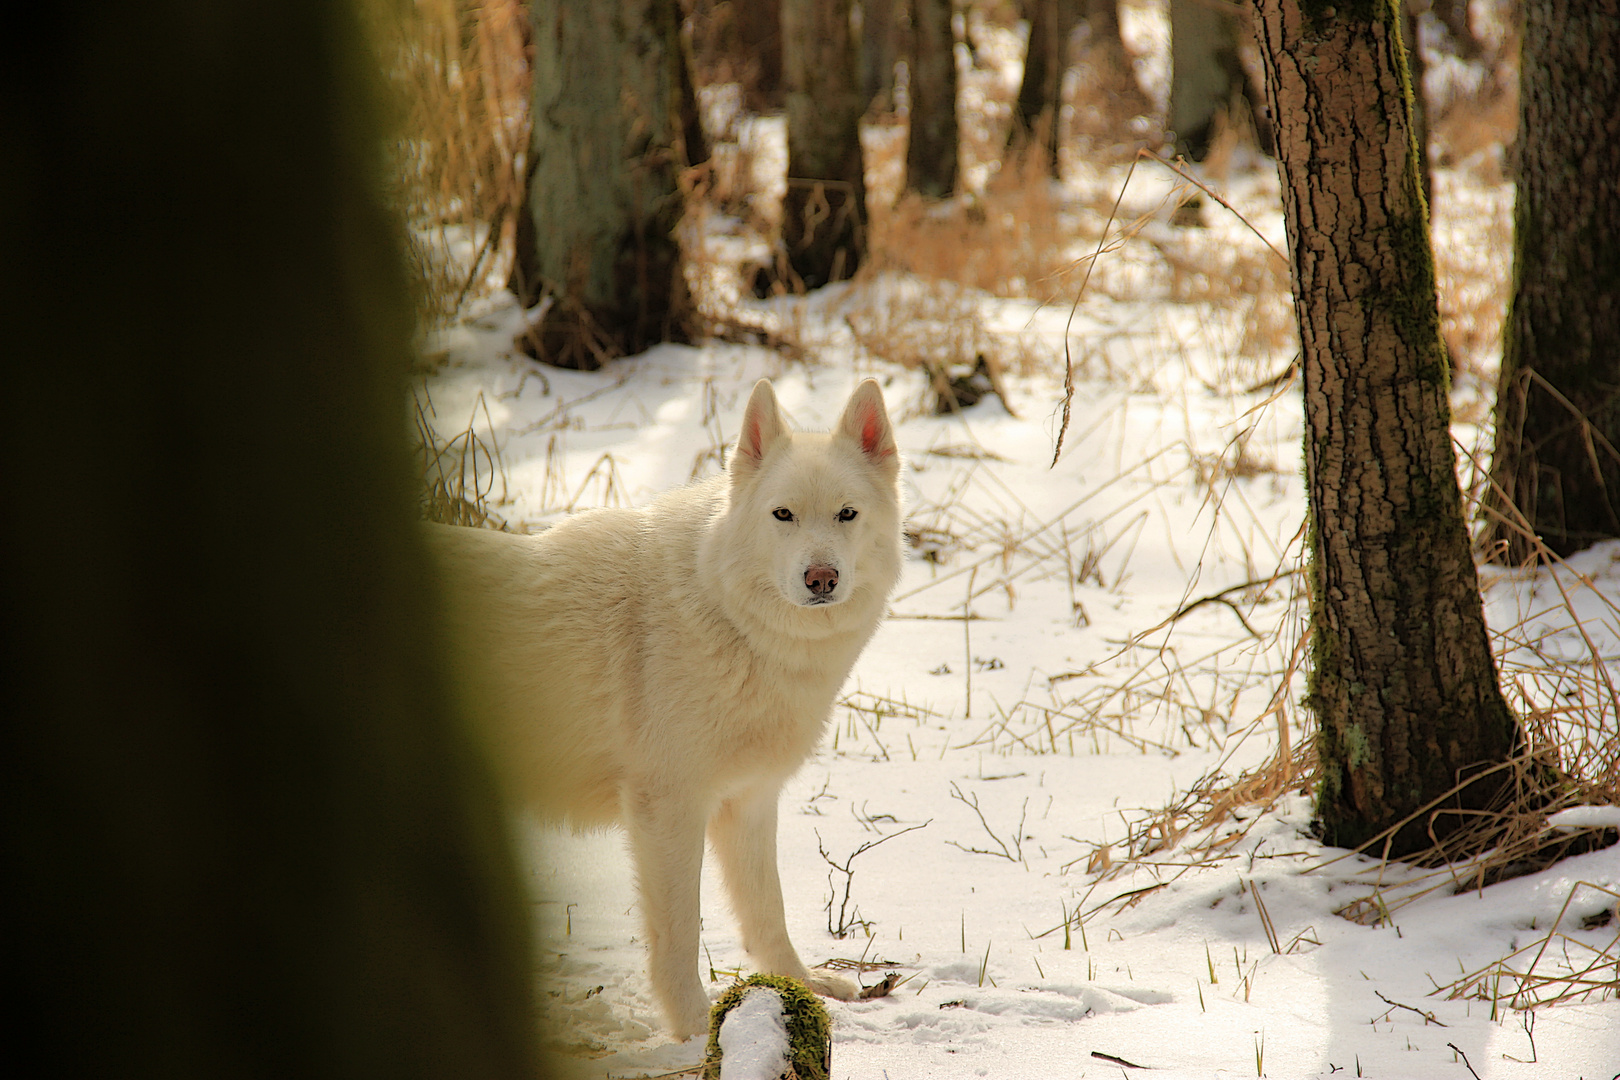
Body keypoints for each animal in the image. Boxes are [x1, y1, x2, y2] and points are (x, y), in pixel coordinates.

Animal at [424, 380, 907, 1036]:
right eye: (782, 515)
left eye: (846, 515)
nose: (821, 578)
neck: (732, 621)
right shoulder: (669, 809)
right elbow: (679, 933)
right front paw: (696, 1029)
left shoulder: (750, 804)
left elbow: (769, 913)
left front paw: (802, 987)